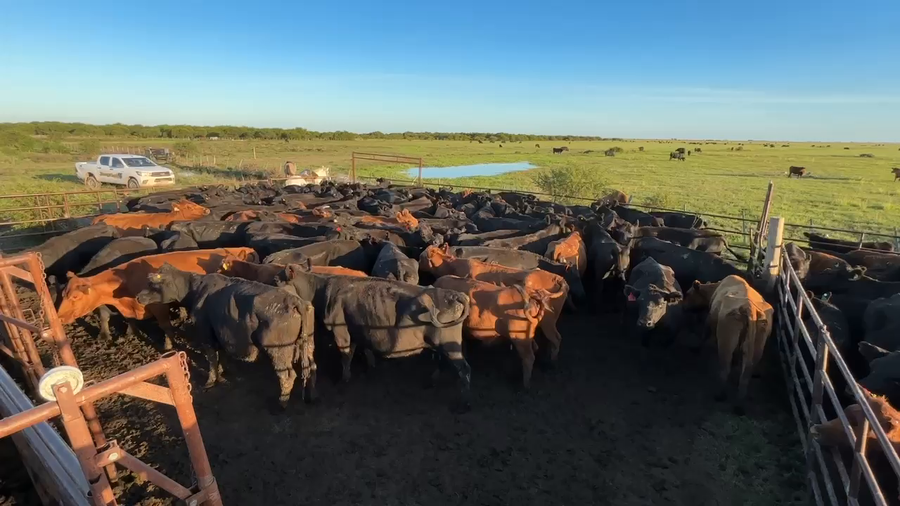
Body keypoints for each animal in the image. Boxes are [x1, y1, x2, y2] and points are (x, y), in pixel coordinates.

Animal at [56, 248, 258, 351]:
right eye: (63, 293)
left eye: (75, 296)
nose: (59, 317)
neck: (127, 278)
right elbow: (129, 320)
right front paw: (131, 333)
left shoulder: (159, 307)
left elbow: (165, 326)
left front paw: (169, 345)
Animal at [136, 264, 315, 408]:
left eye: (152, 283)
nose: (138, 297)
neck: (195, 289)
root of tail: (294, 300)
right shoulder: (220, 332)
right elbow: (220, 354)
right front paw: (223, 372)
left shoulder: (205, 333)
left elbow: (211, 358)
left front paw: (210, 381)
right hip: (308, 344)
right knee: (311, 368)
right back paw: (310, 396)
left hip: (278, 350)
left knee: (287, 375)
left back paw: (282, 402)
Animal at [275, 267, 472, 409]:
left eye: (277, 280)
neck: (321, 288)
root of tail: (454, 294)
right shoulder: (358, 329)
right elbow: (363, 349)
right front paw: (370, 365)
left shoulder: (341, 330)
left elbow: (346, 355)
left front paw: (344, 378)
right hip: (444, 344)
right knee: (444, 362)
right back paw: (432, 381)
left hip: (449, 345)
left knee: (464, 370)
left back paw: (463, 403)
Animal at [433, 276, 563, 387]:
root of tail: (531, 294)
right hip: (541, 327)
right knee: (552, 340)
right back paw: (553, 364)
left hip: (520, 336)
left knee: (529, 357)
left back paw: (525, 385)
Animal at [683, 275, 773, 410]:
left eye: (688, 294)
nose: (683, 307)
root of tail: (749, 308)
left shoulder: (710, 318)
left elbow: (704, 333)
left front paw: (696, 348)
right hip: (757, 346)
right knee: (746, 374)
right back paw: (739, 405)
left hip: (726, 342)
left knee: (725, 368)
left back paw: (720, 395)